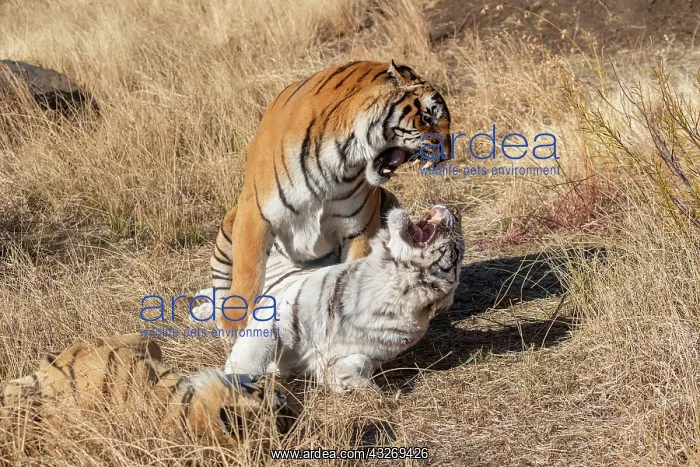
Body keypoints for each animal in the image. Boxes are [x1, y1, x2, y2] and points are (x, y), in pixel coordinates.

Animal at [202, 204, 464, 392]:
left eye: (457, 251)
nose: (456, 211)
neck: (389, 287)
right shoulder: (275, 320)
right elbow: (248, 361)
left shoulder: (351, 356)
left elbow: (354, 367)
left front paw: (363, 388)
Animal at [204, 60, 451, 334]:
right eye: (428, 117)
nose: (447, 152)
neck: (342, 159)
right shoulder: (256, 213)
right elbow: (249, 268)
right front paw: (234, 323)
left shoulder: (358, 228)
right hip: (229, 226)